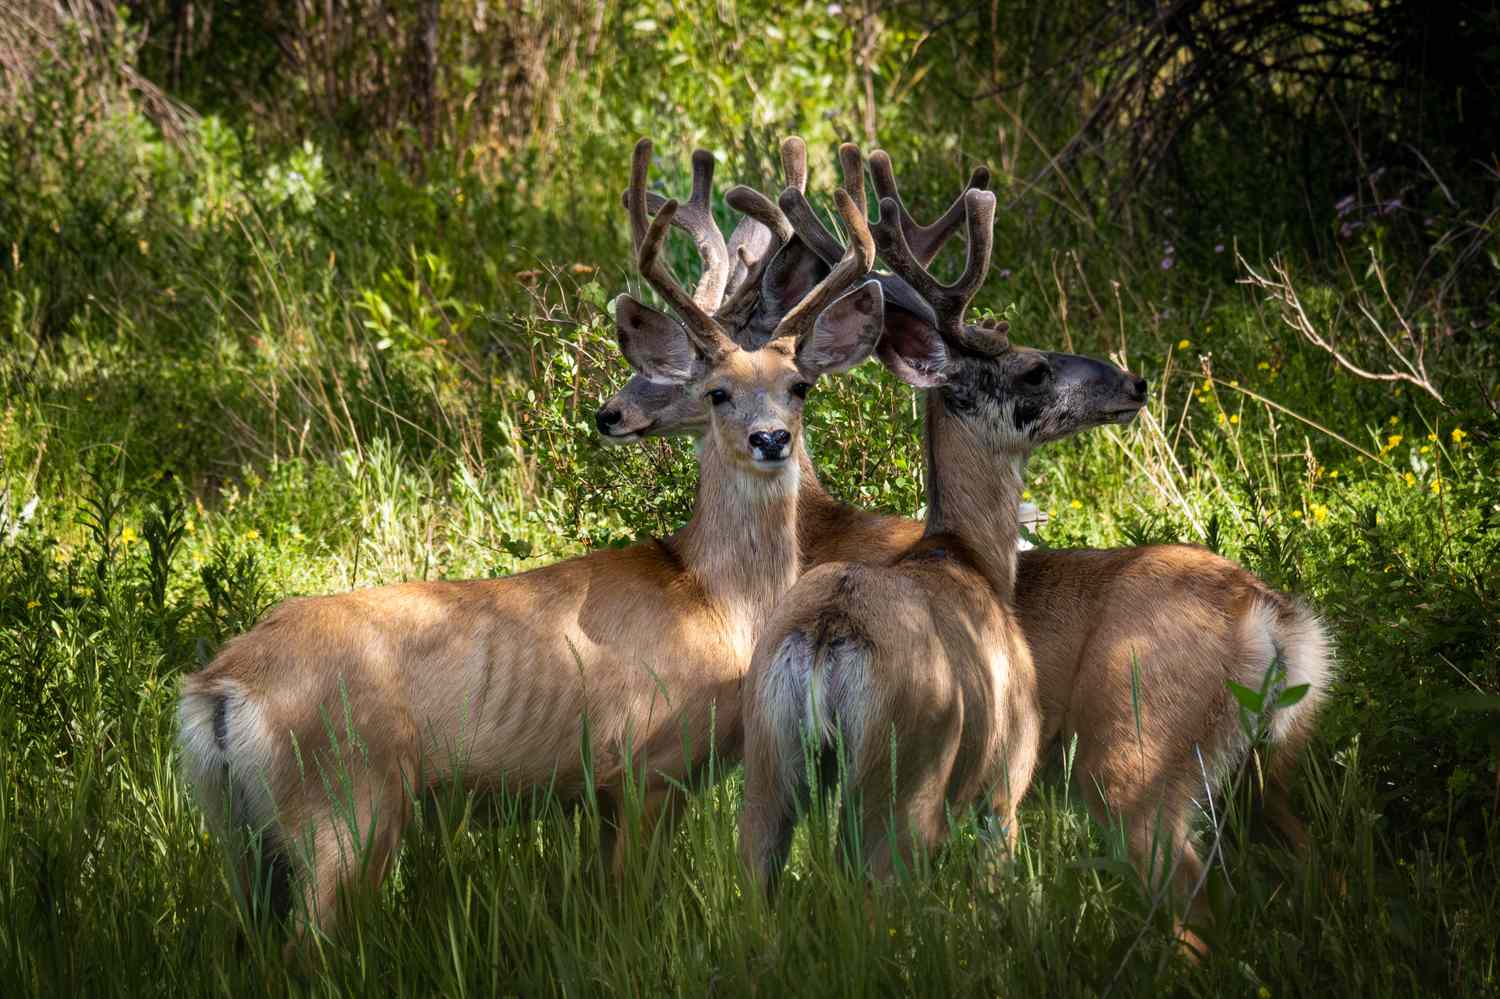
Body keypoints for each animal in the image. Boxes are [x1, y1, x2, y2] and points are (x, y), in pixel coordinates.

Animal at [175, 136, 885, 939]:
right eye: (716, 392)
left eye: (799, 386)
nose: (770, 439)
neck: (714, 598)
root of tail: (219, 689)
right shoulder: (645, 766)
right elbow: (630, 904)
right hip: (342, 806)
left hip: (245, 839)